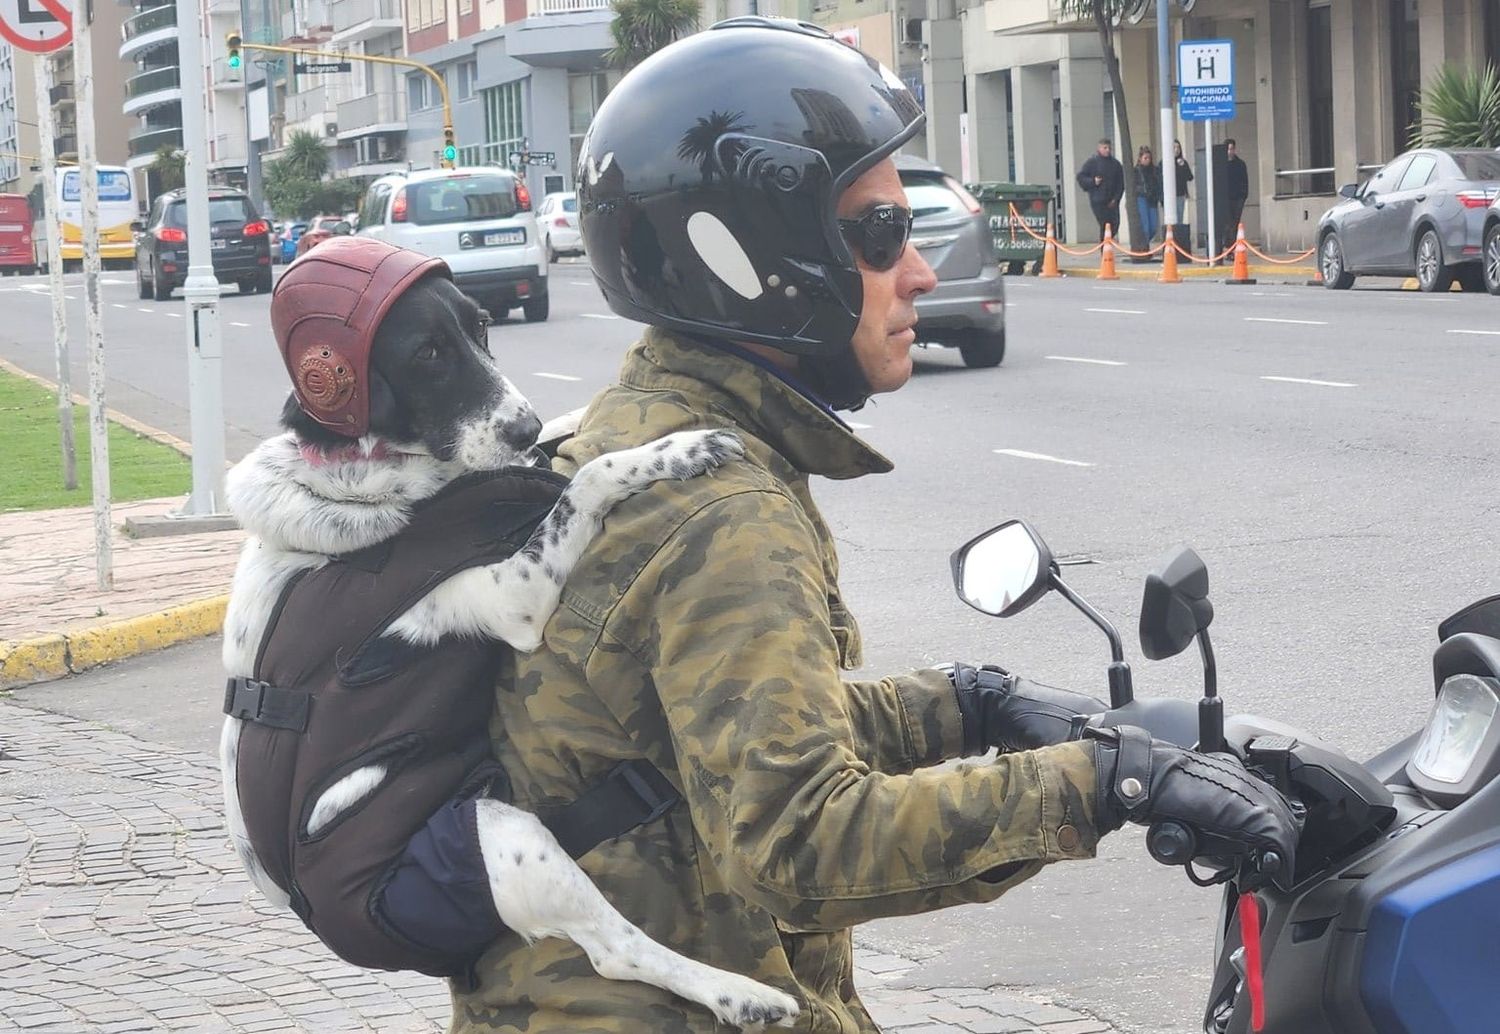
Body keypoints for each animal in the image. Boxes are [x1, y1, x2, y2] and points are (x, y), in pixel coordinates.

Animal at [219, 276, 798, 1032]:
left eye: (482, 328)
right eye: (428, 353)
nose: (523, 425)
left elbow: (565, 450)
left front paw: (571, 420)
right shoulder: (512, 596)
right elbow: (588, 477)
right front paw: (674, 449)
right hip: (504, 834)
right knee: (617, 950)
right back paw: (742, 994)